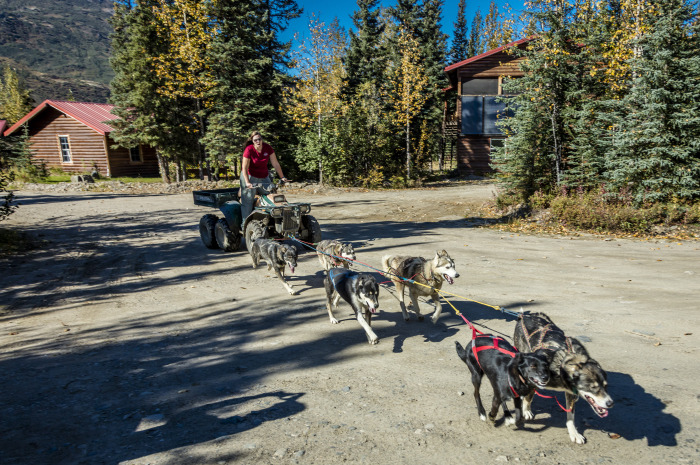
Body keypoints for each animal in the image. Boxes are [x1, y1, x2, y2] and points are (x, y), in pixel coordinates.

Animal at [516, 312, 612, 442]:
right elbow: (528, 397)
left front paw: (574, 433)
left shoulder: (571, 393)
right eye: (593, 387)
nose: (610, 403)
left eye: (606, 386)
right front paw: (526, 410)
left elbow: (570, 416)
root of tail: (526, 314)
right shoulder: (532, 379)